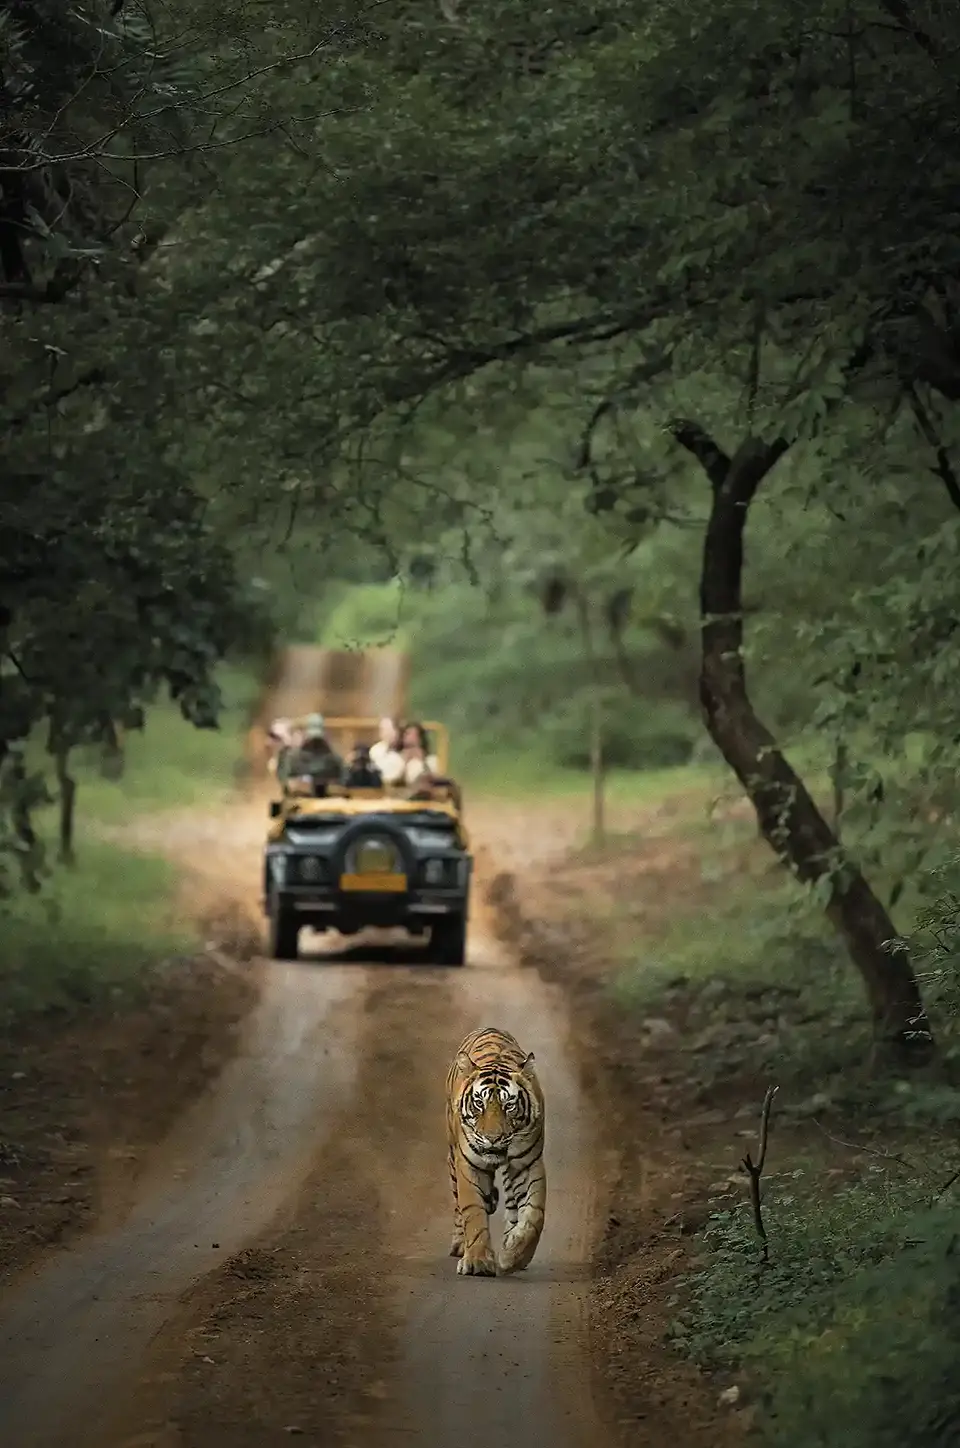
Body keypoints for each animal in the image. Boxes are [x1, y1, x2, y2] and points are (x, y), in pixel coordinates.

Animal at [445, 1025, 546, 1277]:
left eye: (509, 1105)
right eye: (479, 1103)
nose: (493, 1139)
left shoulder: (527, 1164)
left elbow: (534, 1214)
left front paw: (513, 1256)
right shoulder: (468, 1165)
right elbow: (473, 1211)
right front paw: (478, 1261)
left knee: (512, 1206)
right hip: (452, 1158)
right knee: (458, 1205)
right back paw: (459, 1244)